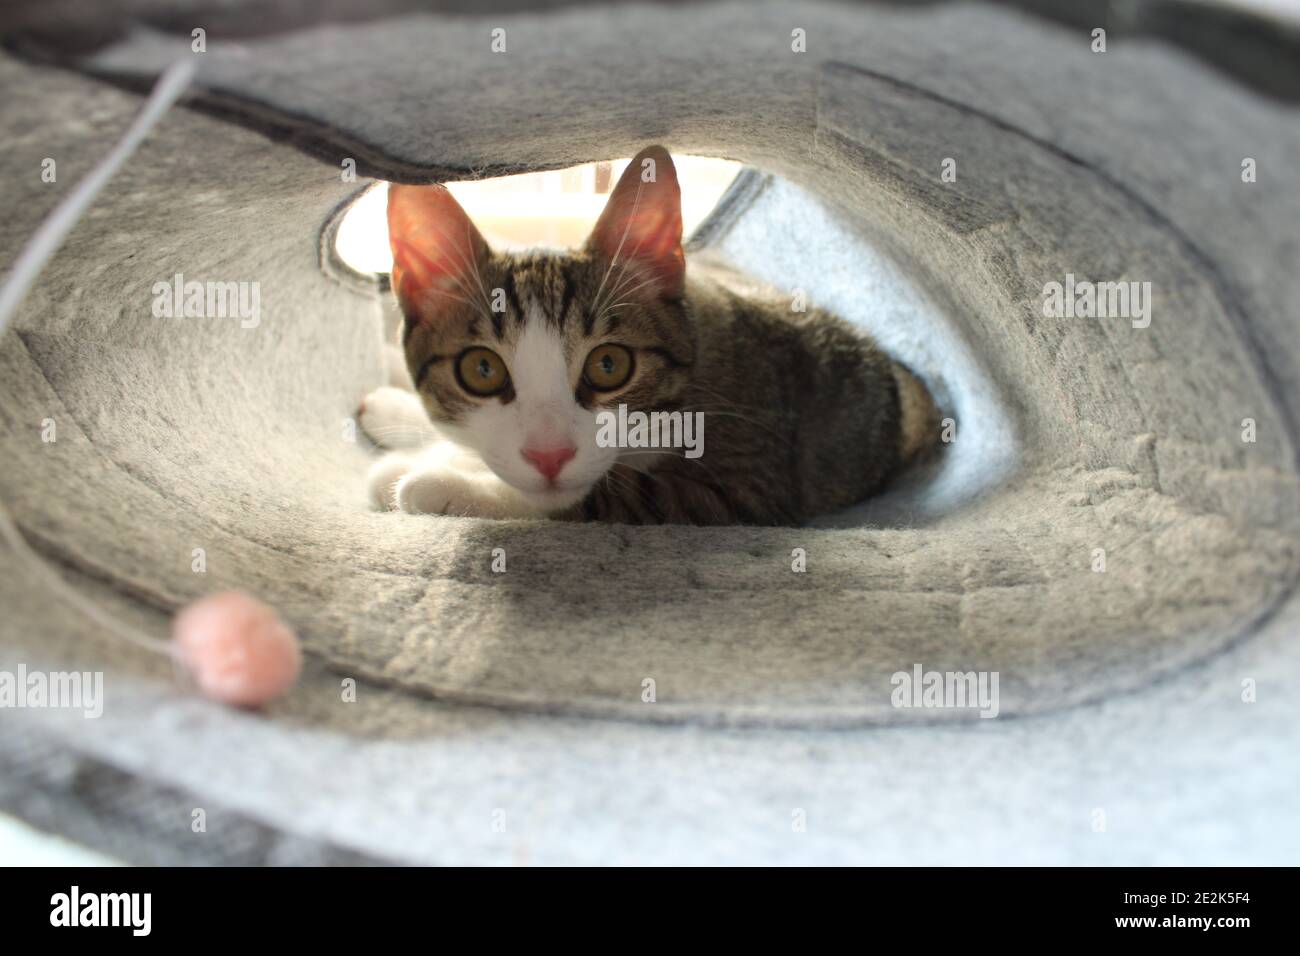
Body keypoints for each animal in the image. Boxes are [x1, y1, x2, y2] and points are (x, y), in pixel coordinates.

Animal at [361, 145, 941, 528]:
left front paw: (443, 482)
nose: (549, 456)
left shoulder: (749, 477)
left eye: (609, 365)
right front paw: (403, 421)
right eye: (481, 370)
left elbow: (601, 496)